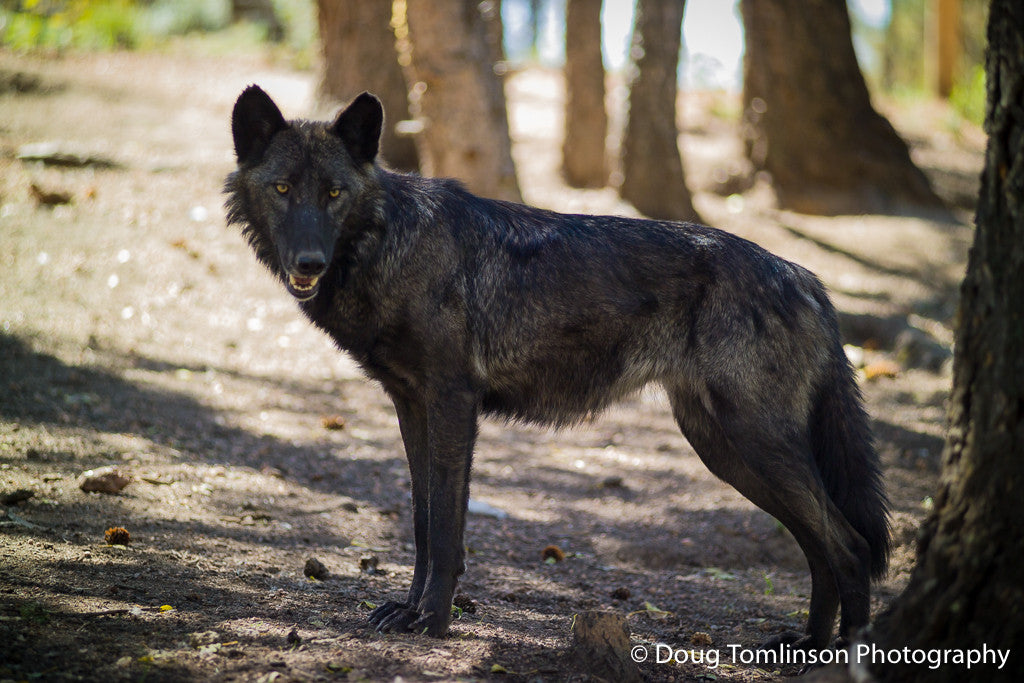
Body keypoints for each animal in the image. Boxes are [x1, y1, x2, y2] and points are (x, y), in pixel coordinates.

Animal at [225, 85, 890, 649]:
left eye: (334, 193)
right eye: (283, 189)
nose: (308, 261)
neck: (391, 241)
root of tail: (805, 277)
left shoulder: (453, 405)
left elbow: (445, 529)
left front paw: (433, 620)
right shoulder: (411, 406)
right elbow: (421, 522)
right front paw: (410, 609)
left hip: (751, 445)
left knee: (850, 547)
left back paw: (845, 652)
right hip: (726, 450)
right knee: (819, 546)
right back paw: (807, 645)